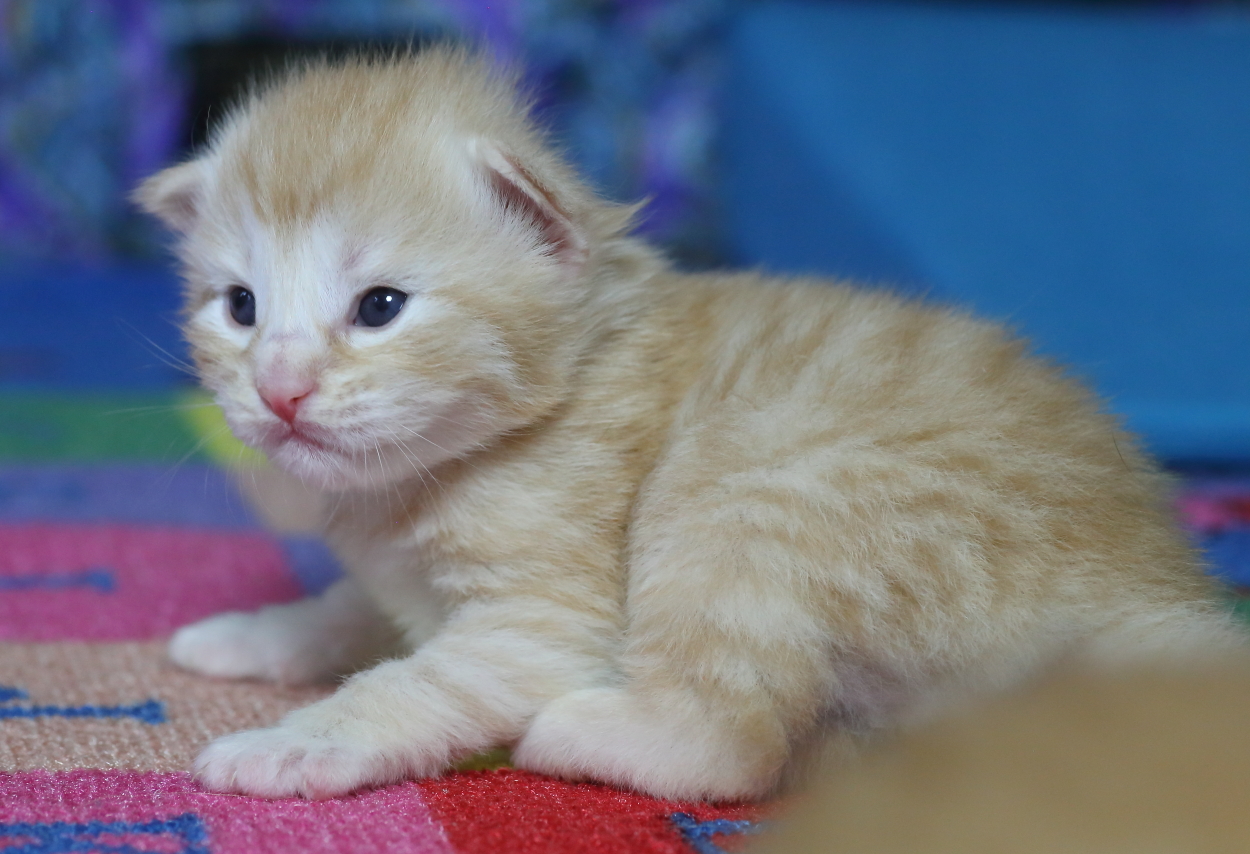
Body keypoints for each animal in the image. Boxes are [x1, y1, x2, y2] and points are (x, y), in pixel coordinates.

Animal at [136, 50, 1240, 805]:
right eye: (239, 307)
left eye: (379, 307)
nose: (279, 389)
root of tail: (1157, 589)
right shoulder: (400, 574)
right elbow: (354, 609)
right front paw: (261, 631)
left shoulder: (547, 619)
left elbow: (414, 682)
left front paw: (296, 739)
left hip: (747, 493)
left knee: (732, 746)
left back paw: (576, 733)